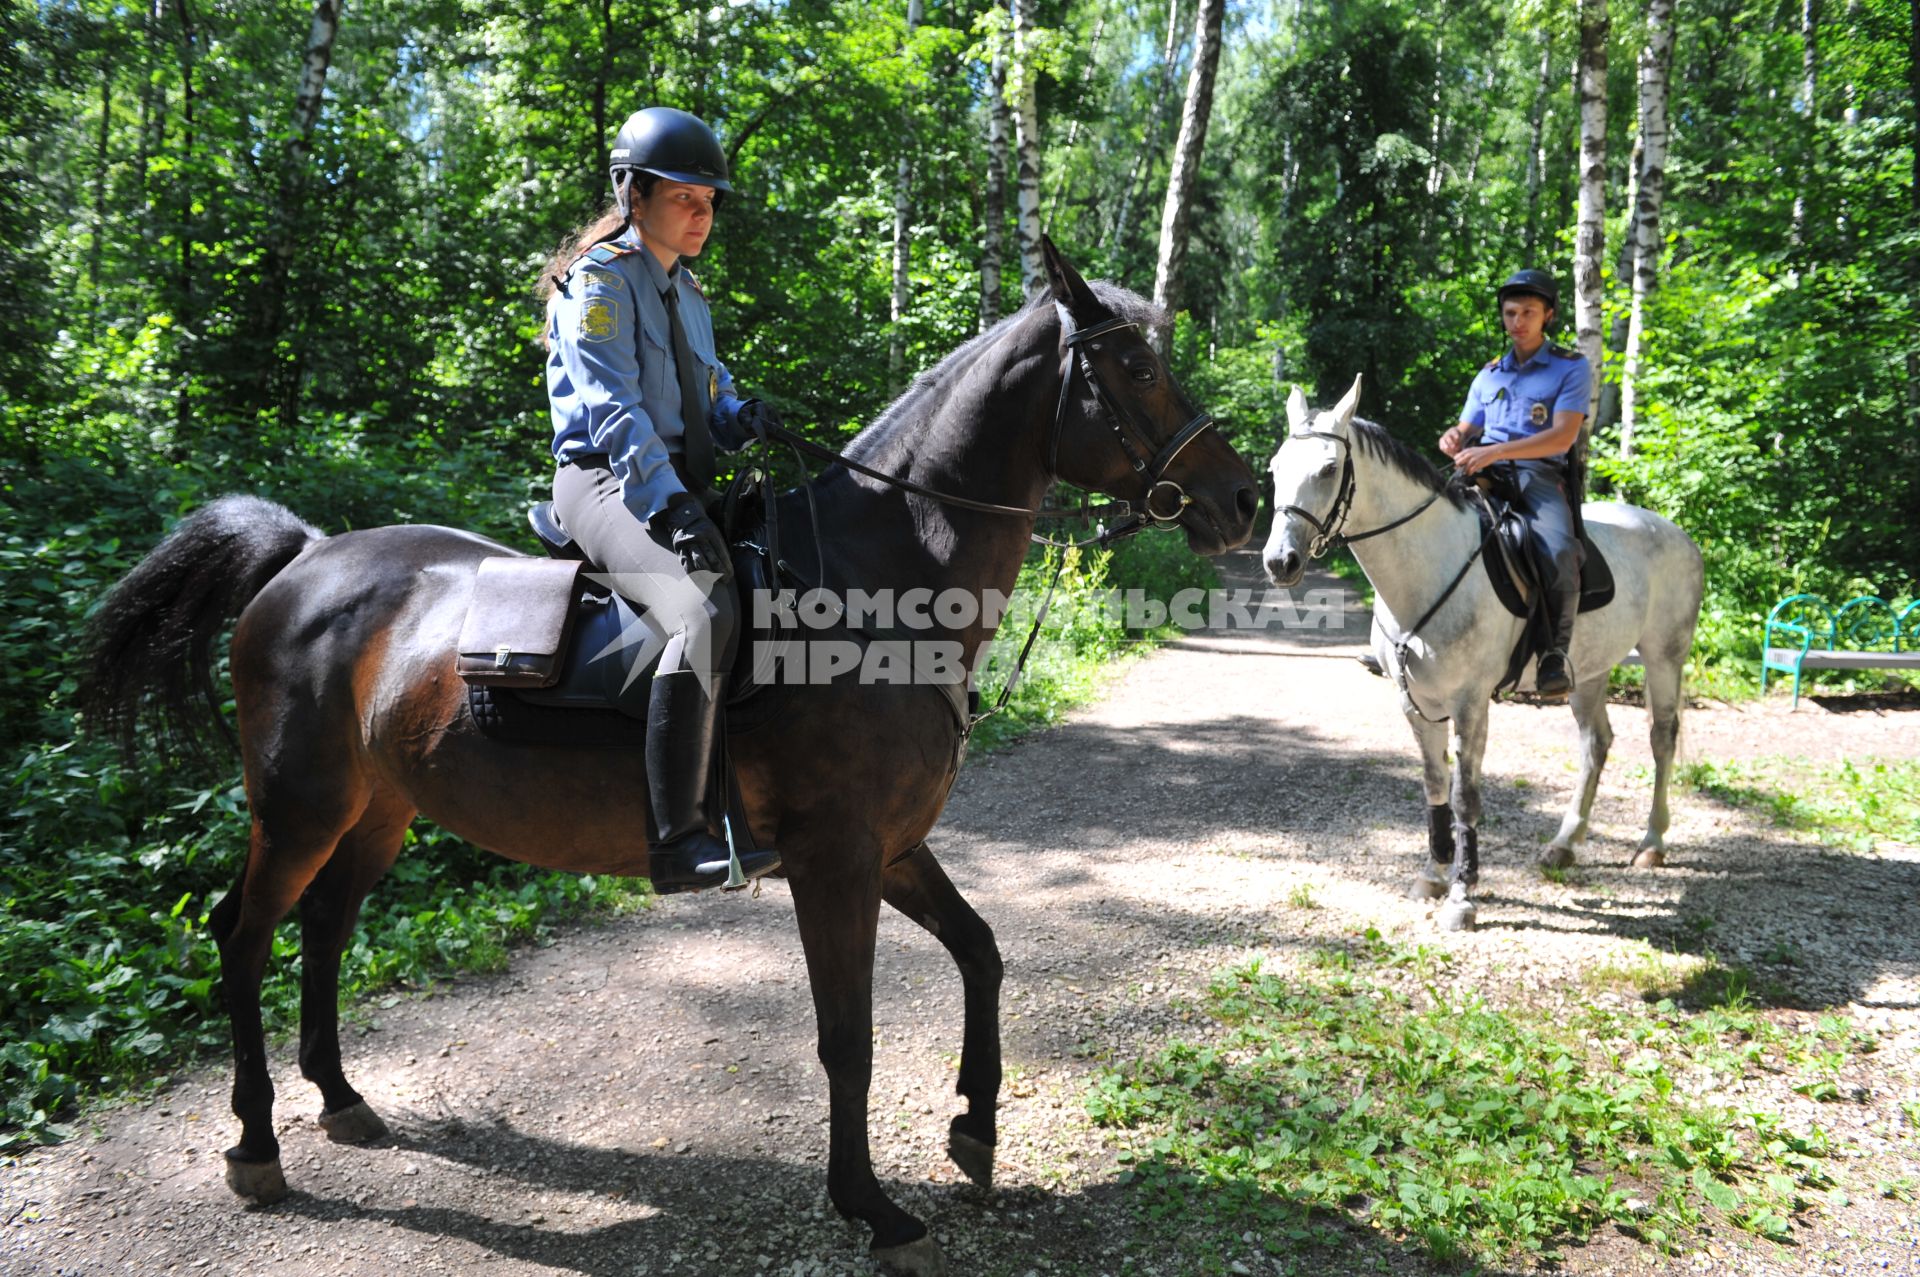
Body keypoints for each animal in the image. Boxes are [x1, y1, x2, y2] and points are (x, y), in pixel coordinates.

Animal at [86, 241, 1259, 1275]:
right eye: (1138, 368)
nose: (1243, 498)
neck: (875, 586)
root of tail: (307, 554)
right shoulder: (835, 860)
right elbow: (848, 1034)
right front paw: (872, 1206)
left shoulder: (889, 848)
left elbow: (981, 950)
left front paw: (973, 1129)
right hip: (298, 806)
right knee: (244, 936)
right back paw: (256, 1144)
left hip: (378, 808)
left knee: (326, 925)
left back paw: (340, 1098)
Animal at [1267, 378, 1704, 925]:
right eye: (1275, 468)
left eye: (1328, 469)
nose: (1280, 562)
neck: (1428, 567)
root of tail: (1677, 533)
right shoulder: (1416, 703)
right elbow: (1434, 785)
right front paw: (1433, 875)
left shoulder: (1470, 704)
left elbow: (1465, 797)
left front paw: (1462, 896)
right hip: (1589, 671)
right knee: (1596, 743)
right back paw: (1565, 843)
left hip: (1664, 656)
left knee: (1661, 739)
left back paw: (1651, 843)